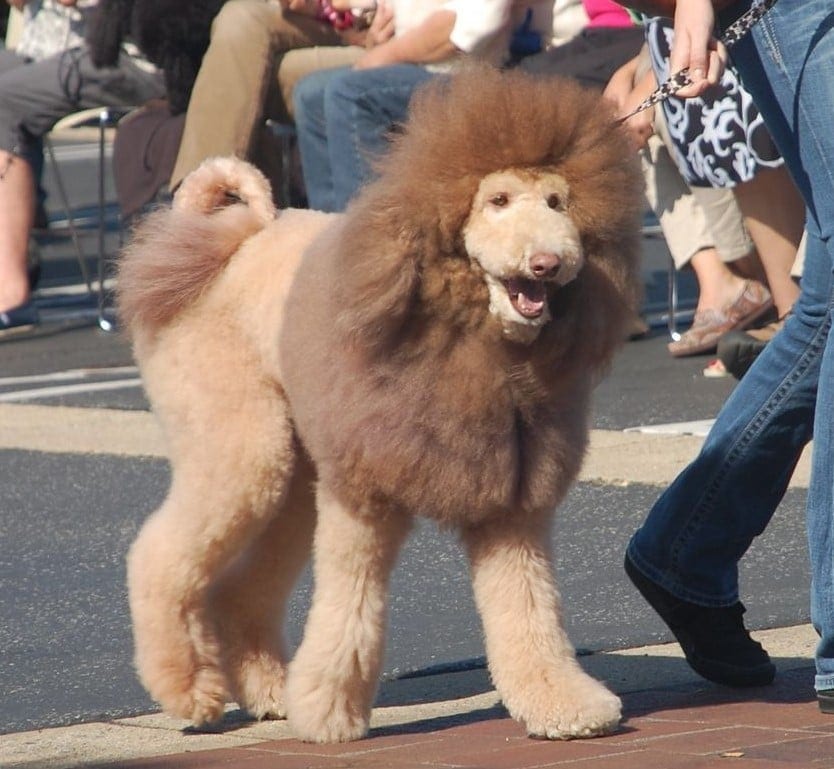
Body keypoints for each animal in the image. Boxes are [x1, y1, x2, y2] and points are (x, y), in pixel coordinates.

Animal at [117, 67, 640, 744]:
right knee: (158, 556)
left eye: (558, 203)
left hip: (293, 474)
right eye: (497, 201)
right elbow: (350, 609)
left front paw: (562, 705)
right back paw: (190, 691)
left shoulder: (510, 506)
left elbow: (529, 613)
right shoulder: (363, 495)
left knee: (240, 589)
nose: (548, 263)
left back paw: (269, 691)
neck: (465, 334)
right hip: (242, 445)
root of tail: (232, 241)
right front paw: (329, 715)